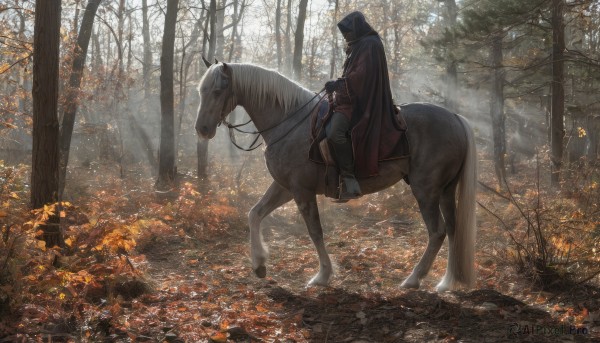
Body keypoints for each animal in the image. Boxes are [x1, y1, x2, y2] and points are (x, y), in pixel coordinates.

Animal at [195, 61, 476, 290]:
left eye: (218, 91)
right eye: (201, 91)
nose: (202, 129)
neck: (289, 121)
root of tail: (456, 118)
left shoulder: (302, 190)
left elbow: (315, 231)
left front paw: (322, 276)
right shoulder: (284, 187)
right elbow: (254, 213)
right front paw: (259, 264)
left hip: (425, 190)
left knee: (437, 232)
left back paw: (414, 279)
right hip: (446, 190)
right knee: (453, 230)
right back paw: (447, 282)